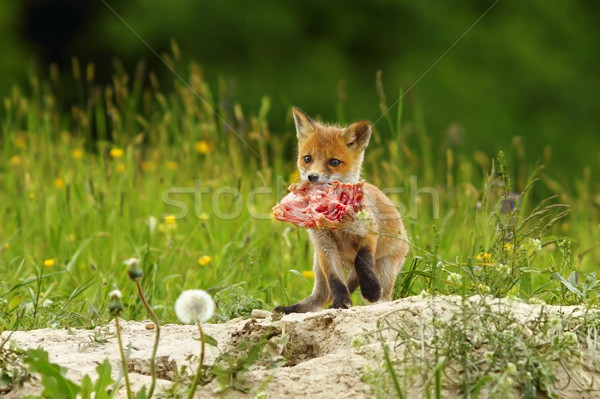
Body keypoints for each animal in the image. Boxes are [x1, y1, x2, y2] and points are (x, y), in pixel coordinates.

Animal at [274, 108, 410, 314]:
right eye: (307, 159)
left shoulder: (368, 233)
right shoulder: (324, 246)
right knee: (321, 296)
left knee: (383, 296)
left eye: (334, 162)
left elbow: (362, 263)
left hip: (385, 267)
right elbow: (335, 280)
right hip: (317, 264)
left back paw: (376, 299)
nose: (312, 177)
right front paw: (341, 302)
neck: (337, 225)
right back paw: (293, 309)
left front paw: (370, 289)